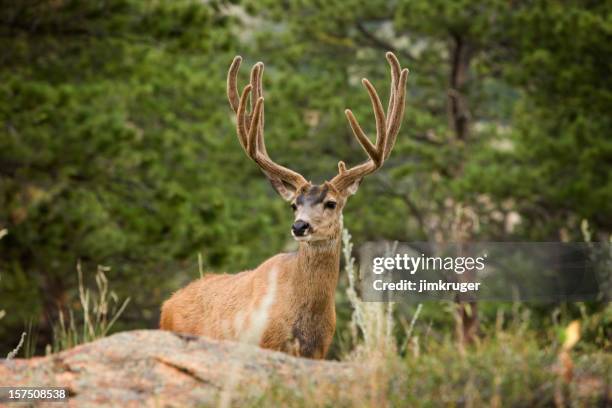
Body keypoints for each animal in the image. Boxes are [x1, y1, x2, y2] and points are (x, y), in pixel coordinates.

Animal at [159, 51, 406, 360]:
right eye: (294, 205)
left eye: (331, 203)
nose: (300, 226)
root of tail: (167, 305)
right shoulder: (264, 344)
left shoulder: (319, 351)